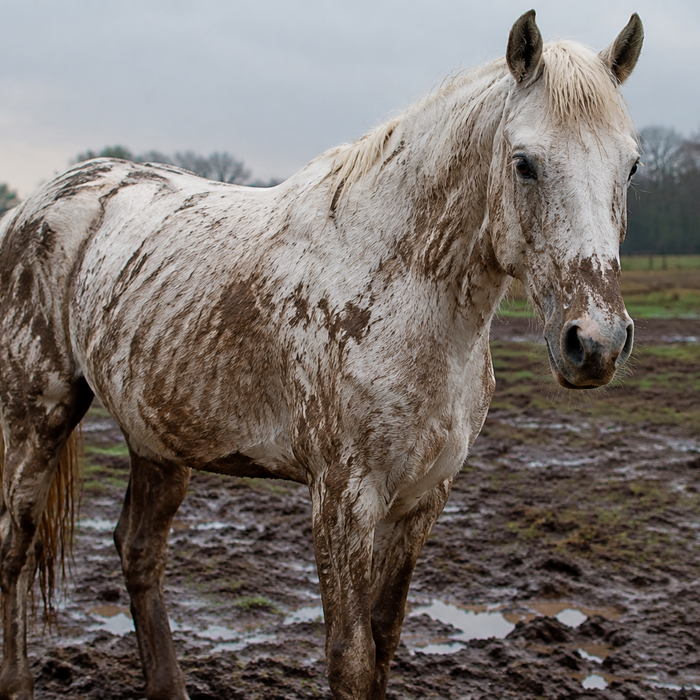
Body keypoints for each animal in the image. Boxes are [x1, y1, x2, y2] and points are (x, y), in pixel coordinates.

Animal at [0, 10, 643, 700]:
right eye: (524, 163)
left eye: (631, 167)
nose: (596, 342)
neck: (395, 284)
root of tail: (36, 204)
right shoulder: (342, 499)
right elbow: (351, 659)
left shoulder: (422, 500)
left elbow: (384, 643)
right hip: (38, 414)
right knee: (16, 543)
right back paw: (18, 682)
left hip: (157, 437)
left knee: (138, 551)